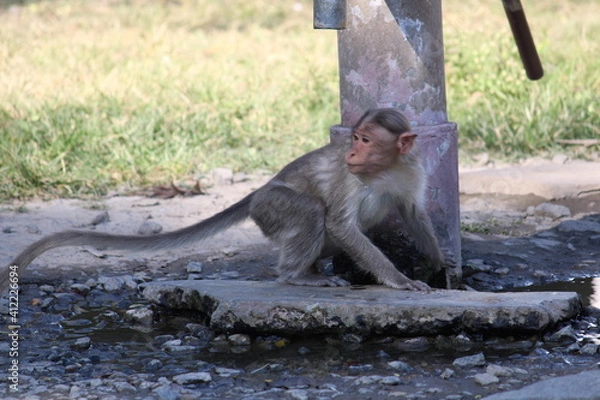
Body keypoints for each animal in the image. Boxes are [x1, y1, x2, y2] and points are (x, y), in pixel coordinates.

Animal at [0, 108, 450, 292]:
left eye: (367, 140)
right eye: (354, 138)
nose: (353, 152)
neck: (383, 169)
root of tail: (256, 192)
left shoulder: (415, 169)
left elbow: (414, 213)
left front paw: (440, 267)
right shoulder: (349, 178)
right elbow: (340, 222)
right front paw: (401, 280)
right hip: (270, 206)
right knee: (311, 213)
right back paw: (296, 276)